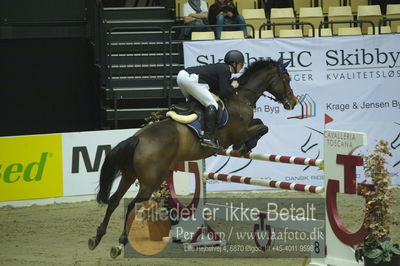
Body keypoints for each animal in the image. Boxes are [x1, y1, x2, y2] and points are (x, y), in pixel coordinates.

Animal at [88, 56, 296, 258]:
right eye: (286, 79)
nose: (293, 102)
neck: (241, 97)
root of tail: (138, 138)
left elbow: (260, 123)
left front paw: (247, 145)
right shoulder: (240, 131)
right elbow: (262, 127)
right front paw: (245, 146)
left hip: (130, 175)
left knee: (114, 200)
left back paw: (97, 237)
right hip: (150, 181)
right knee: (133, 205)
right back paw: (119, 244)